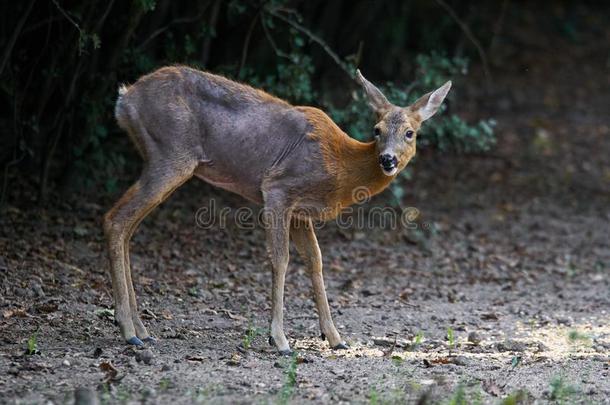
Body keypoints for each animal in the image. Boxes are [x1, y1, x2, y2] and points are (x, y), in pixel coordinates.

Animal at [103, 64, 446, 352]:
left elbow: (315, 261)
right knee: (115, 218)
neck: (340, 166)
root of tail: (125, 99)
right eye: (377, 130)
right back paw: (128, 330)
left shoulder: (300, 212)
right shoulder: (278, 188)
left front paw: (335, 338)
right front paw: (279, 339)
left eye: (410, 133)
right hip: (171, 154)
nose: (387, 159)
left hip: (162, 158)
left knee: (127, 227)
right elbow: (280, 259)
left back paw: (140, 329)